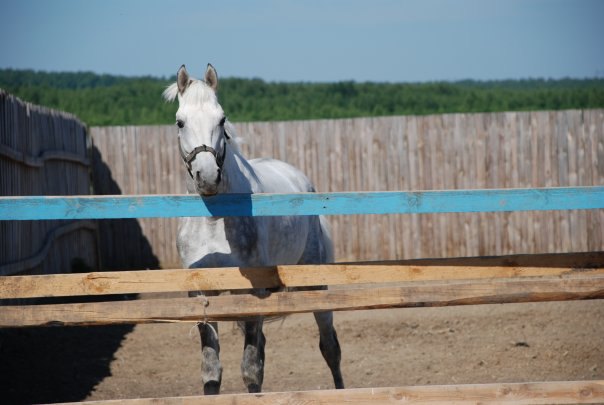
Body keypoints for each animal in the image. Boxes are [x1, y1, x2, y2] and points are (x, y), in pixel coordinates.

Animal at [163, 64, 344, 394]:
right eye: (180, 122)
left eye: (222, 119)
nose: (207, 177)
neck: (213, 220)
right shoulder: (201, 294)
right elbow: (212, 370)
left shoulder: (252, 292)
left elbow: (250, 369)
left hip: (316, 284)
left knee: (330, 348)